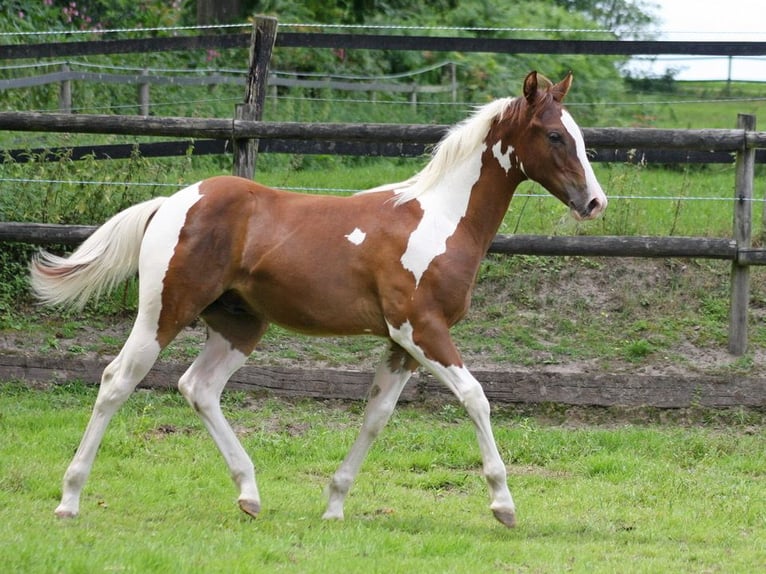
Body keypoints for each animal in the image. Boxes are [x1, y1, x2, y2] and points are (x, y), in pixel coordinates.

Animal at [30, 71, 606, 528]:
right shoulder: (422, 328)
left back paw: (249, 494)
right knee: (116, 381)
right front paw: (503, 504)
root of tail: (172, 201)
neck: (441, 220)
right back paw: (69, 500)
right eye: (555, 135)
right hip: (164, 312)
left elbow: (376, 415)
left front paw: (334, 504)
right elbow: (476, 397)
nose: (594, 202)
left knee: (199, 387)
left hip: (240, 325)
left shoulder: (402, 344)